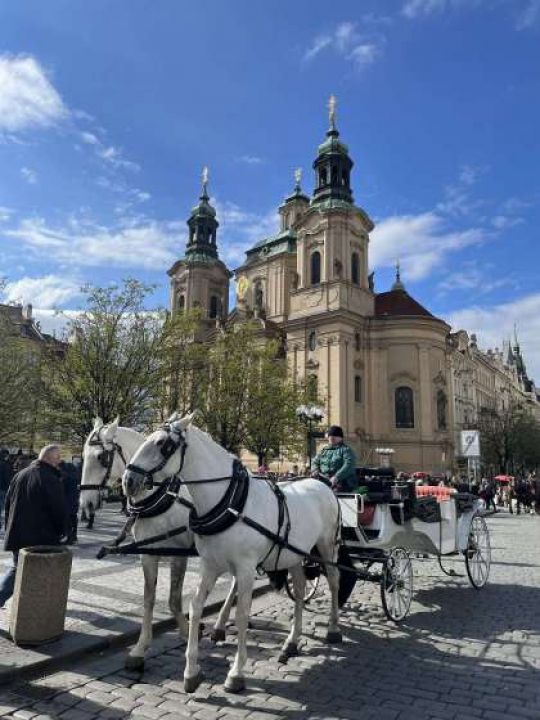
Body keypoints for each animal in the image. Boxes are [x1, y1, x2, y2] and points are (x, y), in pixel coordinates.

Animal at [81, 416, 236, 668]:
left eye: (101, 457)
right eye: (82, 456)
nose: (85, 504)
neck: (162, 496)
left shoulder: (178, 553)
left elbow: (174, 599)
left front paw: (187, 630)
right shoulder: (148, 553)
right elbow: (149, 598)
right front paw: (140, 648)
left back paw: (220, 625)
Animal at [123, 414, 342, 696]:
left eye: (163, 444)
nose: (128, 480)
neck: (229, 502)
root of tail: (321, 483)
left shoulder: (246, 569)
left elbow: (242, 615)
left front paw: (236, 673)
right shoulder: (209, 565)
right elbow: (195, 607)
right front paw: (191, 671)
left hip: (327, 546)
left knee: (335, 580)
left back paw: (333, 628)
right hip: (293, 553)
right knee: (301, 585)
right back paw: (292, 642)